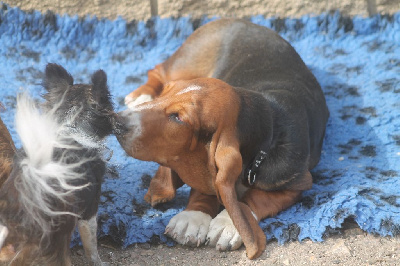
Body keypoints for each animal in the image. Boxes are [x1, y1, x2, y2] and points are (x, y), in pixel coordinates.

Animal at [115, 17, 328, 258]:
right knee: (157, 70)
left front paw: (229, 223)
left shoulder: (298, 184)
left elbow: (256, 198)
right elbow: (205, 188)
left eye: (178, 118)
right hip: (185, 63)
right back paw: (141, 94)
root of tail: (239, 20)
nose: (115, 121)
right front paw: (193, 216)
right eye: (165, 96)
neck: (268, 126)